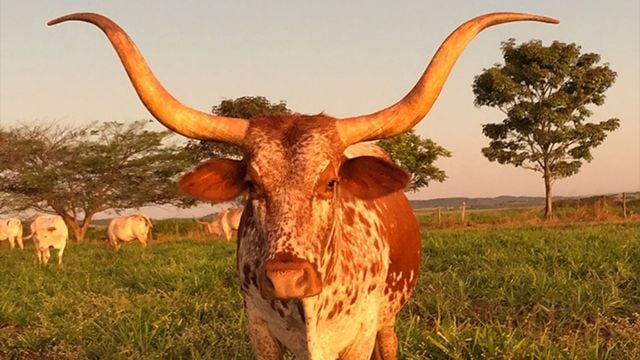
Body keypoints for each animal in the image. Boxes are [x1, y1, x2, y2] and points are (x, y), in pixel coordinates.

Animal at [51, 11, 556, 360]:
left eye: (330, 182)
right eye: (252, 183)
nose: (287, 277)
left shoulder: (359, 334)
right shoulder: (259, 330)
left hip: (388, 318)